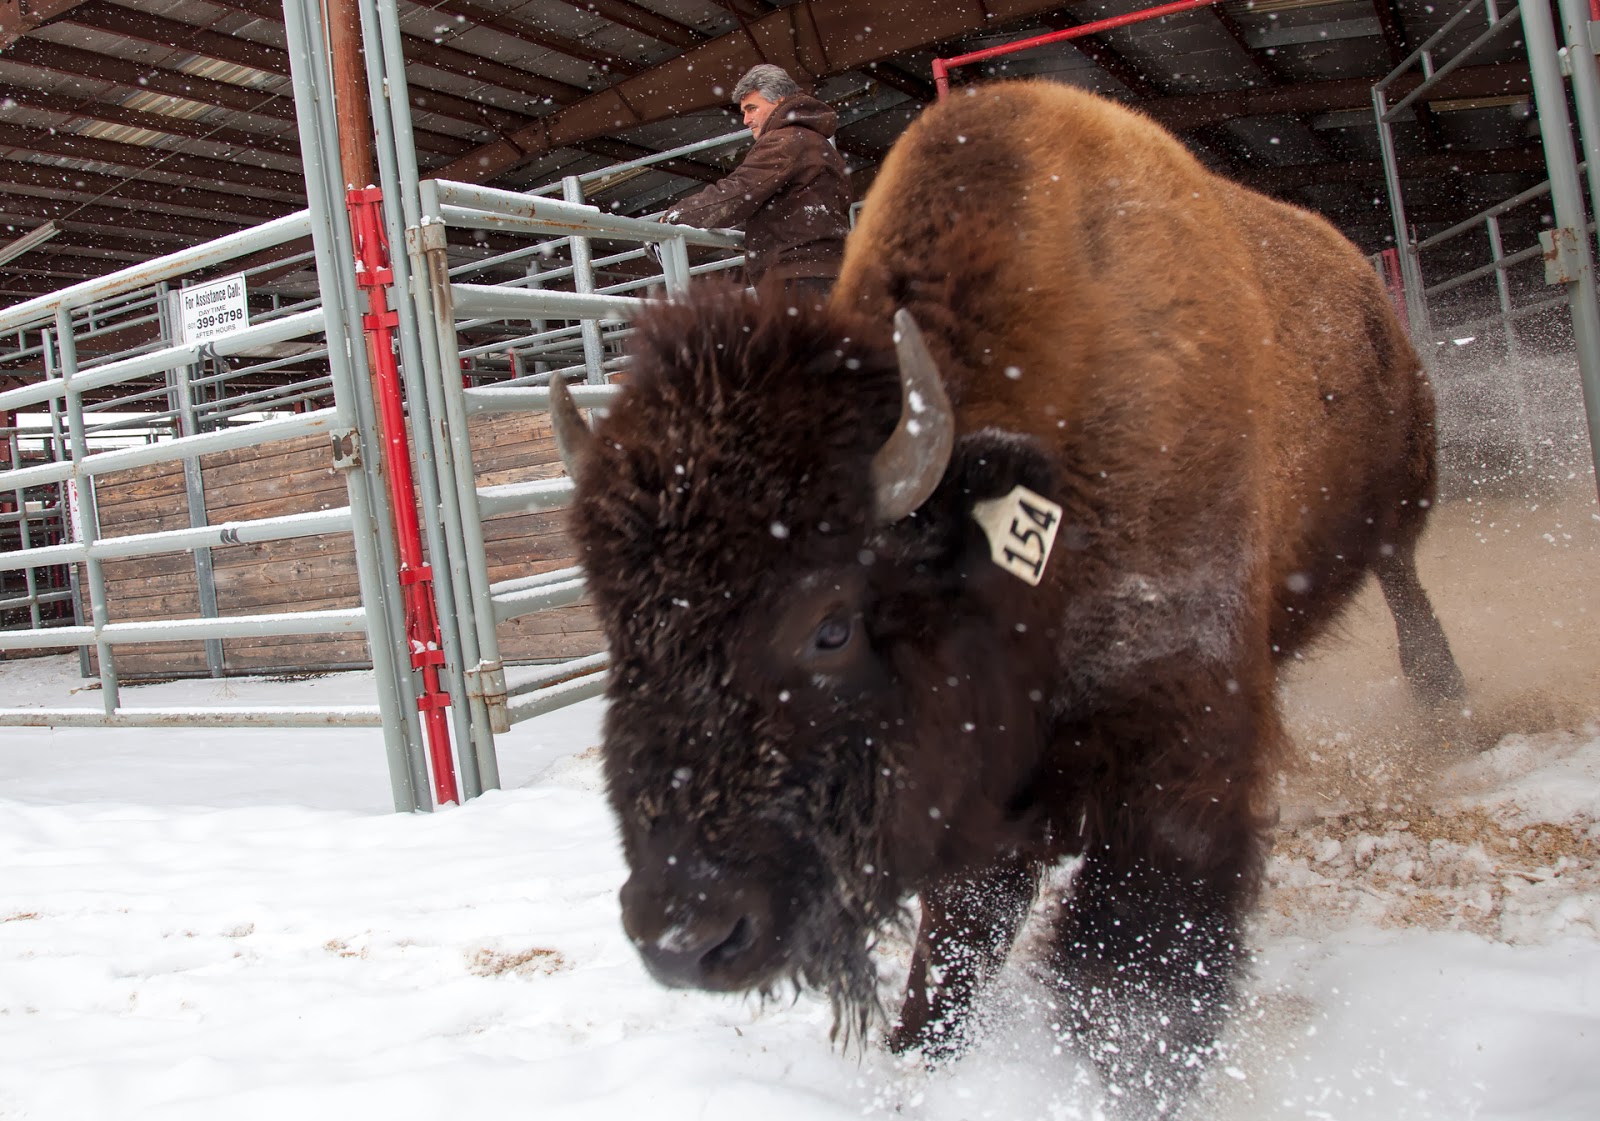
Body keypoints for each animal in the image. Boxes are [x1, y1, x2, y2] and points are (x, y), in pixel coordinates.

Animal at [551, 79, 1464, 1114]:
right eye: (620, 632)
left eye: (831, 626)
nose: (683, 934)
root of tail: (1362, 282)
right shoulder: (984, 784)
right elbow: (959, 943)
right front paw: (917, 1049)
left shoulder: (1178, 731)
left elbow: (1132, 964)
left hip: (1400, 503)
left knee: (1407, 588)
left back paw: (1446, 700)